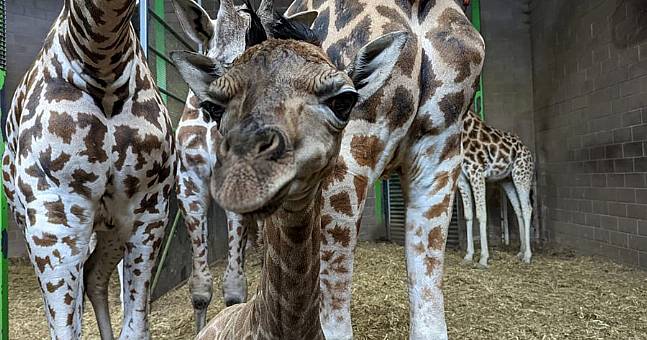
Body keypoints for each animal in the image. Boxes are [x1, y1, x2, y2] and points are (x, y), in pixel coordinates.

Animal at [1, 1, 175, 338]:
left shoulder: (149, 211)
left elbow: (135, 328)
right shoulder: (54, 219)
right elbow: (65, 328)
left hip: (110, 226)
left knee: (93, 275)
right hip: (36, 224)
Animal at [458, 111, 536, 268]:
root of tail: (528, 151)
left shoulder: (477, 173)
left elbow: (481, 214)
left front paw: (483, 258)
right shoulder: (463, 179)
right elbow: (468, 215)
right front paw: (468, 256)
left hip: (522, 176)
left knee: (527, 208)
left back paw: (528, 256)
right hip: (507, 181)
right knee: (518, 209)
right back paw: (521, 251)